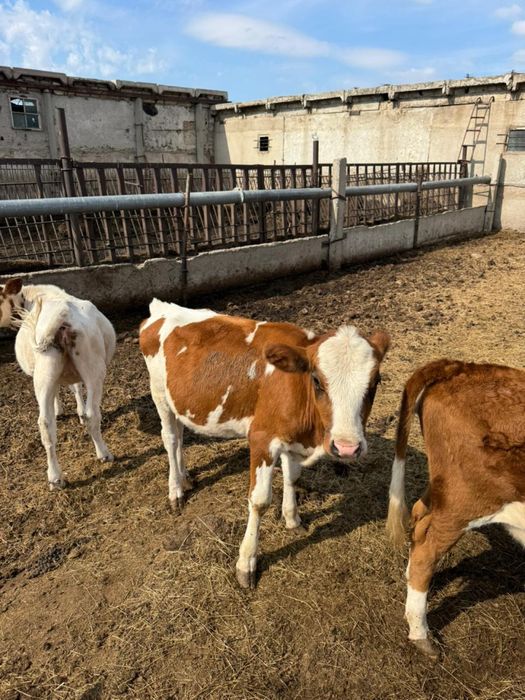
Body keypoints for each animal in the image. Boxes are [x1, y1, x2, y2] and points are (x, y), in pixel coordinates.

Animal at [0, 279, 116, 489]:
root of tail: (60, 315)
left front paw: (62, 410)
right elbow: (75, 388)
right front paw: (71, 411)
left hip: (46, 367)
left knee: (47, 423)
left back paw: (57, 476)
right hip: (92, 366)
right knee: (88, 415)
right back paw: (100, 455)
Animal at [139, 299, 390, 588]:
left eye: (376, 381)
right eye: (316, 379)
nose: (347, 447)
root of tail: (162, 307)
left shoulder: (291, 439)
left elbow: (293, 478)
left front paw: (292, 519)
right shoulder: (261, 439)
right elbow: (259, 501)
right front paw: (246, 563)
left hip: (179, 400)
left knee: (180, 434)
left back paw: (186, 478)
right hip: (159, 395)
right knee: (170, 439)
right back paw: (176, 491)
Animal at [386, 359, 525, 658]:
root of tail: (460, 367)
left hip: (444, 490)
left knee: (419, 517)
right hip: (467, 500)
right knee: (426, 550)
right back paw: (421, 634)